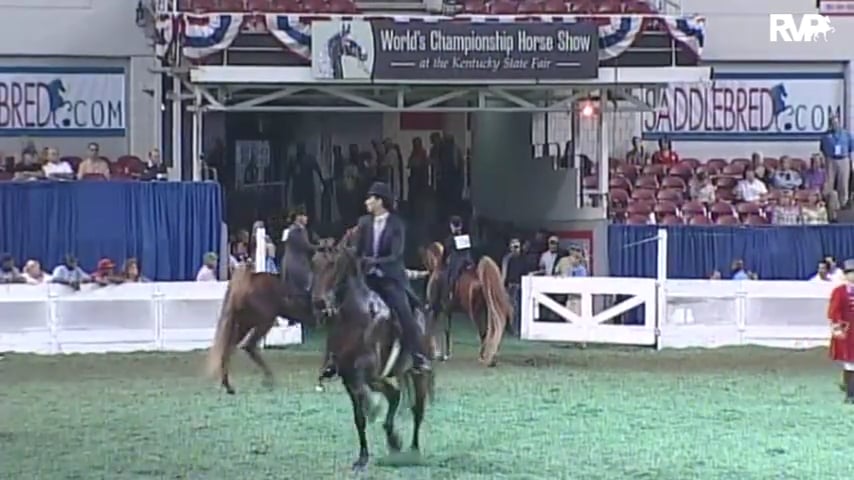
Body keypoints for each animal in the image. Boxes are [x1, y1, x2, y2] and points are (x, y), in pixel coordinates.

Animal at [206, 264, 315, 395]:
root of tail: (248, 280)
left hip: (244, 325)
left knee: (229, 349)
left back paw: (228, 386)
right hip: (263, 323)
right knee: (248, 346)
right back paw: (269, 379)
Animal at [312, 240, 435, 472]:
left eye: (332, 264)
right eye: (314, 262)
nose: (318, 303)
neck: (355, 316)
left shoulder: (365, 371)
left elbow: (367, 401)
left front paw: (375, 412)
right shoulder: (349, 377)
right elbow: (359, 418)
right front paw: (362, 459)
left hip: (417, 375)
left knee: (417, 410)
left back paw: (413, 450)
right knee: (394, 395)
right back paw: (393, 440)